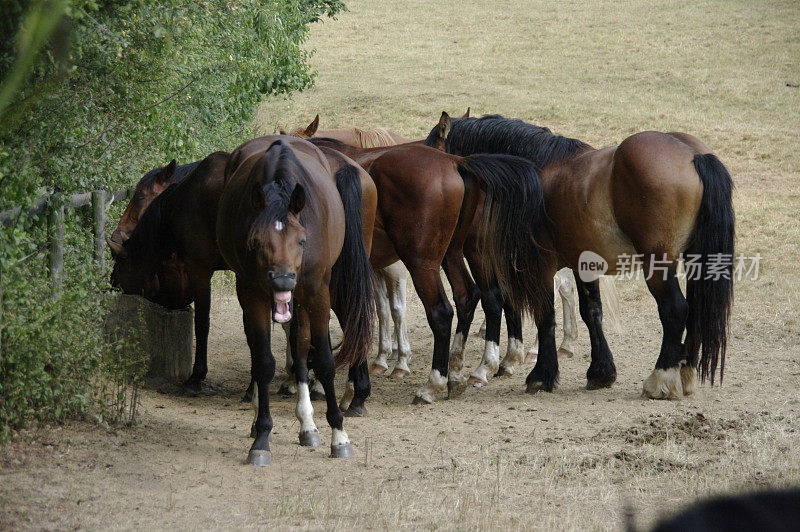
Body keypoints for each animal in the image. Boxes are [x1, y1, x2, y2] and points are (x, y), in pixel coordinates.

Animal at [216, 137, 378, 466]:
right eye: (256, 241)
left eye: (302, 240)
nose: (282, 281)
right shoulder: (252, 294)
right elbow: (263, 361)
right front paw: (262, 435)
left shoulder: (317, 292)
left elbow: (325, 361)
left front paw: (339, 435)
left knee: (304, 346)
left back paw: (310, 422)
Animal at [424, 114, 736, 402]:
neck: (535, 170)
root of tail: (693, 154)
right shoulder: (582, 264)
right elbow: (591, 312)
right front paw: (601, 372)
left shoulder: (540, 265)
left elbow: (545, 315)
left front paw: (541, 375)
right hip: (697, 262)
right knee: (696, 309)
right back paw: (685, 374)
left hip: (657, 264)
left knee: (675, 310)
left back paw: (661, 379)